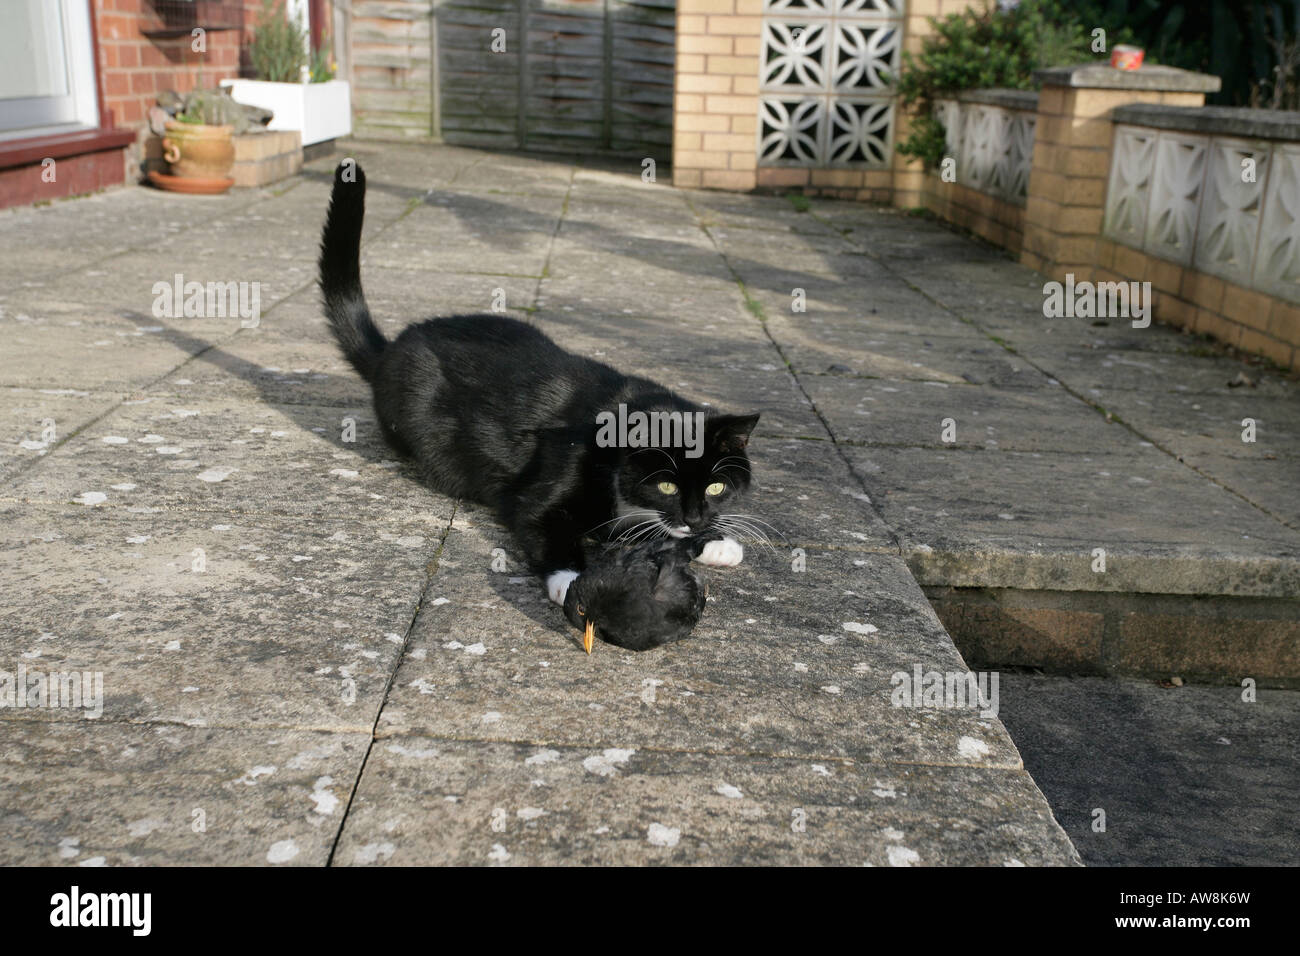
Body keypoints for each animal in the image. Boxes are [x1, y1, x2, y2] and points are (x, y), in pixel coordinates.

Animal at [317, 159, 759, 600]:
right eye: (667, 486)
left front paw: (714, 542)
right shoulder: (540, 489)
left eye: (716, 488)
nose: (695, 520)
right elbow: (545, 525)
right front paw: (573, 583)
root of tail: (391, 350)